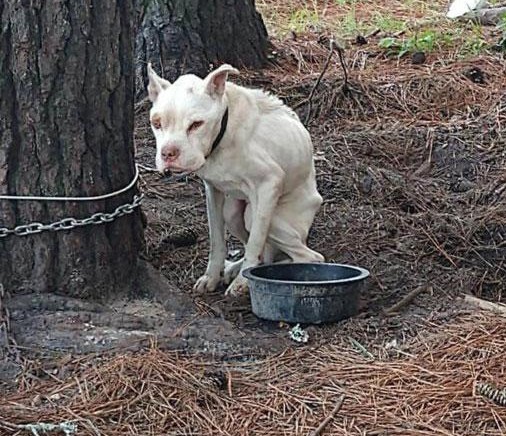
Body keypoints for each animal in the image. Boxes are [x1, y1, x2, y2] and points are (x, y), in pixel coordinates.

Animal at [147, 63, 324, 296]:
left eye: (196, 124)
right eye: (157, 123)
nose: (168, 153)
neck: (223, 135)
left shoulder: (269, 184)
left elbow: (256, 242)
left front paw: (242, 282)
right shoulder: (213, 190)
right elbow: (216, 240)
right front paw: (212, 276)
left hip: (260, 216)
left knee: (309, 257)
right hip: (232, 213)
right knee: (263, 250)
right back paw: (234, 268)